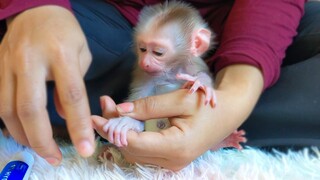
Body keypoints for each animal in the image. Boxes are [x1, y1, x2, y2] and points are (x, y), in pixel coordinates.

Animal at [95, 1, 245, 149]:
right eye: (142, 49)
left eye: (158, 52)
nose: (144, 62)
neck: (171, 70)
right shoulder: (145, 75)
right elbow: (140, 94)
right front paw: (129, 120)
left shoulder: (193, 65)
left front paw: (200, 81)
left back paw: (225, 141)